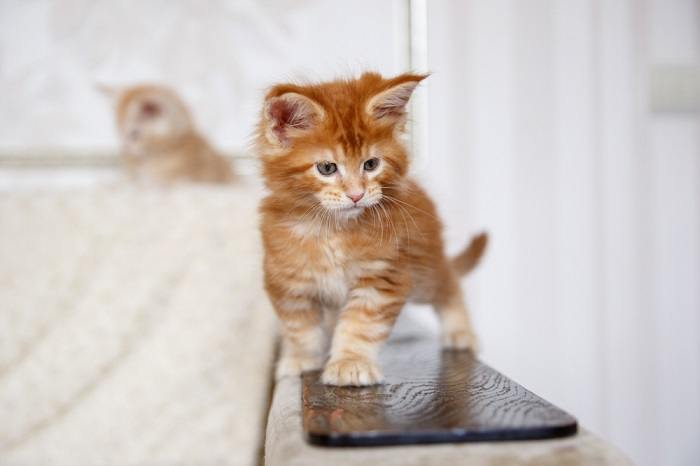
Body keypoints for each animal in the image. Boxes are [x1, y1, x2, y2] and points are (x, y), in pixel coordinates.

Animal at [258, 72, 486, 386]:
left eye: (371, 164)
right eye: (327, 168)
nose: (357, 195)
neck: (333, 229)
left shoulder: (383, 274)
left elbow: (360, 325)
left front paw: (350, 363)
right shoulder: (288, 281)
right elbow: (299, 328)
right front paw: (301, 359)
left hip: (423, 272)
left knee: (449, 282)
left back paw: (460, 332)